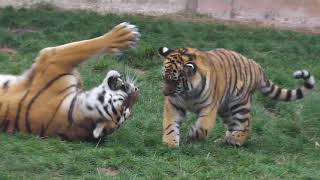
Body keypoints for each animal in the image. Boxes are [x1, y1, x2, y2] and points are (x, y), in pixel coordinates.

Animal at [0, 21, 139, 141]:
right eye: (126, 106)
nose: (137, 92)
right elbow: (83, 47)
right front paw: (125, 34)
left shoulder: (52, 60)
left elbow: (83, 47)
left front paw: (124, 34)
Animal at [160, 46, 316, 146]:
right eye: (164, 78)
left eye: (174, 80)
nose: (164, 93)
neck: (188, 93)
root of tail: (257, 65)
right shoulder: (174, 105)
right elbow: (170, 124)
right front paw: (170, 142)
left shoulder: (209, 108)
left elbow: (202, 127)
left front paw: (191, 137)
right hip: (226, 109)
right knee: (232, 125)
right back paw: (225, 140)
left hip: (240, 104)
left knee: (245, 125)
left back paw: (236, 140)